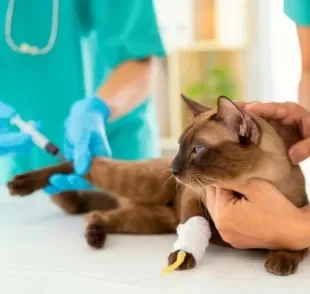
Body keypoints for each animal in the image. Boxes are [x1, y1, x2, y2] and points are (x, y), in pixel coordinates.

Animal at [6, 96, 308, 276]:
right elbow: (194, 224)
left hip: (147, 221)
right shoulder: (195, 196)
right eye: (180, 146)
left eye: (197, 149)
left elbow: (290, 239)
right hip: (137, 184)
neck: (245, 185)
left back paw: (95, 236)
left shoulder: (295, 210)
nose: (172, 170)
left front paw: (280, 262)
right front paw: (182, 258)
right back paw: (21, 183)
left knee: (97, 214)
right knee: (82, 162)